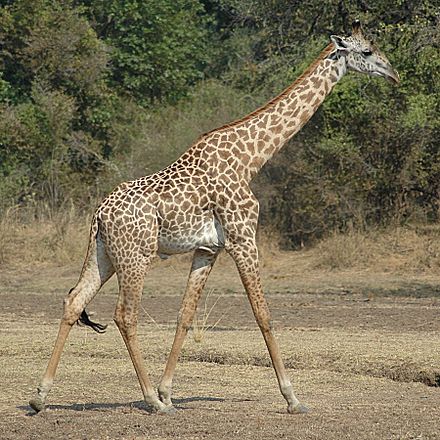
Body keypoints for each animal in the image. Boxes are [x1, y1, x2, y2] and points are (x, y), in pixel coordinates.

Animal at [28, 20, 398, 414]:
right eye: (367, 51)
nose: (393, 74)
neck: (252, 157)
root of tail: (98, 214)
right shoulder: (243, 237)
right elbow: (263, 314)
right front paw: (293, 398)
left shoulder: (208, 249)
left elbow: (185, 315)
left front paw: (168, 392)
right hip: (136, 256)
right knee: (124, 315)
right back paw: (149, 401)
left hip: (104, 255)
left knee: (74, 301)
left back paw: (40, 396)